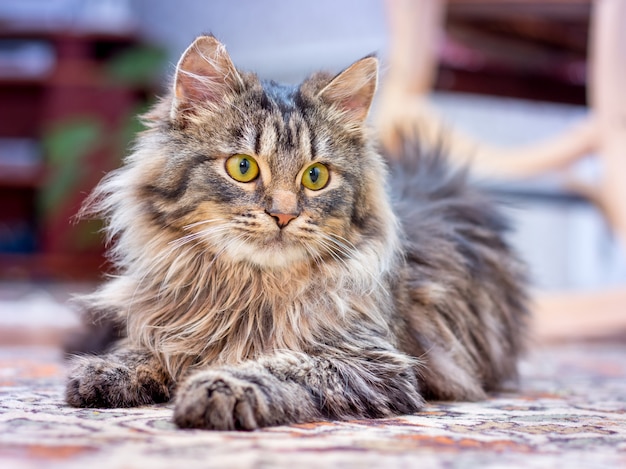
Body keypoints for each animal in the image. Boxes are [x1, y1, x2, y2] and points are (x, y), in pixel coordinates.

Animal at [66, 35, 528, 432]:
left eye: (316, 176)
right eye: (243, 167)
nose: (283, 215)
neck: (248, 291)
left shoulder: (373, 362)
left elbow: (283, 365)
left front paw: (218, 387)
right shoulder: (171, 325)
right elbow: (151, 348)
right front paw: (106, 370)